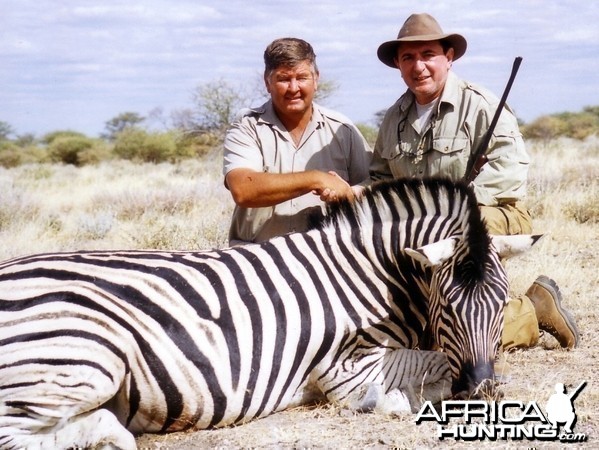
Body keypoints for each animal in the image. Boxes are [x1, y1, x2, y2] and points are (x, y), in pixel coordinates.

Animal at [0, 178, 540, 448]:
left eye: (501, 303)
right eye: (448, 306)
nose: (483, 389)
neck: (370, 272)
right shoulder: (345, 367)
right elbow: (428, 375)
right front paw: (398, 400)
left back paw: (109, 434)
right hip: (84, 355)